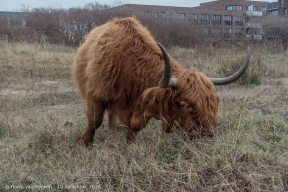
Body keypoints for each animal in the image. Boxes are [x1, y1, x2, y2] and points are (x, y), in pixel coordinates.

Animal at [73, 17, 251, 146]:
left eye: (214, 102)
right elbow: (94, 121)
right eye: (185, 105)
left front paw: (130, 144)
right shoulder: (96, 95)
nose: (208, 135)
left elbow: (133, 127)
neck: (129, 66)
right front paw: (84, 144)